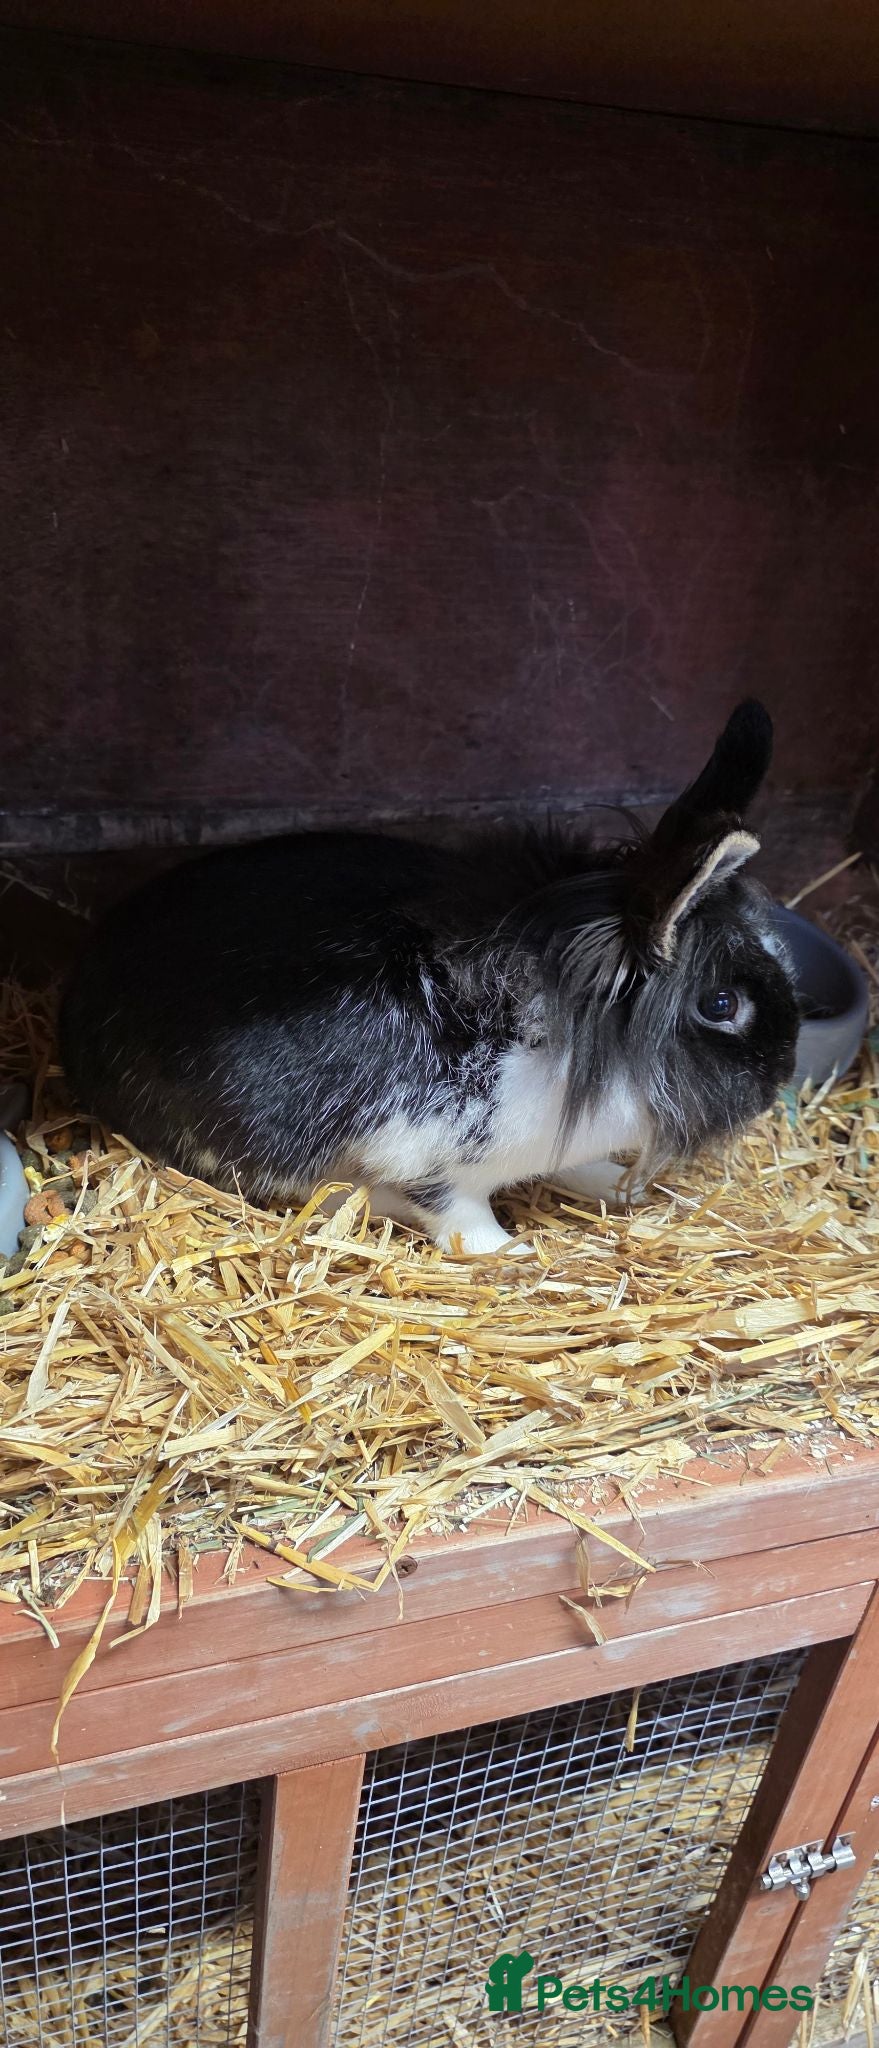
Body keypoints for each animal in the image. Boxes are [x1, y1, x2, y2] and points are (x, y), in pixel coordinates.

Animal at [59, 700, 798, 1254]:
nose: (780, 1078)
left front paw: (616, 1183)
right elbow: (455, 1213)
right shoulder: (431, 1157)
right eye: (721, 1003)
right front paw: (509, 1253)